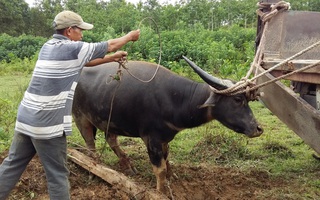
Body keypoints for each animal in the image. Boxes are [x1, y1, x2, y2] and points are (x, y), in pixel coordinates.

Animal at [72, 57, 262, 193]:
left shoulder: (165, 138)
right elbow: (160, 168)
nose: (257, 128)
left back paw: (127, 165)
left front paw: (172, 177)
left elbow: (167, 159)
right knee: (90, 144)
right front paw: (161, 191)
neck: (175, 99)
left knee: (111, 139)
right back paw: (95, 167)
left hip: (110, 120)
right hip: (80, 118)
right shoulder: (151, 139)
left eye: (247, 99)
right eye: (237, 99)